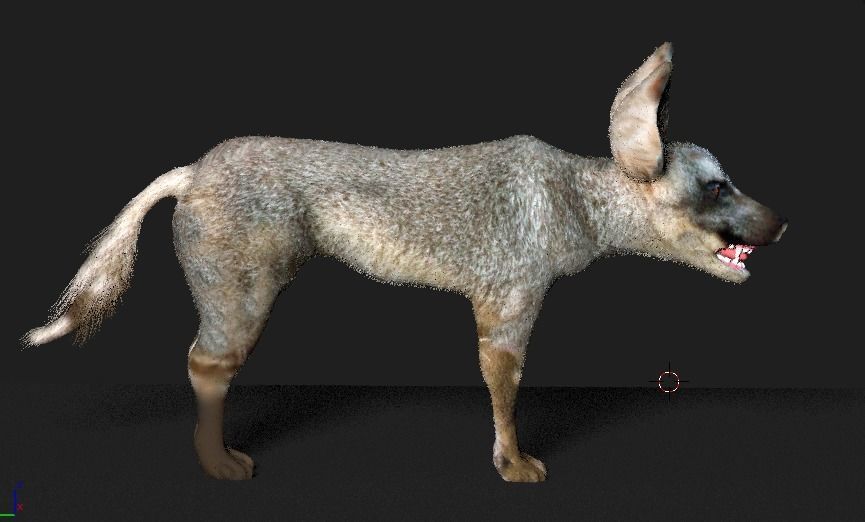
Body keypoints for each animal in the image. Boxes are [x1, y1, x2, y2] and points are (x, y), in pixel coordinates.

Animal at [24, 42, 786, 481]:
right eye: (716, 188)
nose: (782, 224)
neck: (571, 196)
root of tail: (189, 173)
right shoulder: (508, 300)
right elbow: (504, 386)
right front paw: (513, 465)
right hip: (243, 295)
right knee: (204, 364)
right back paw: (220, 466)